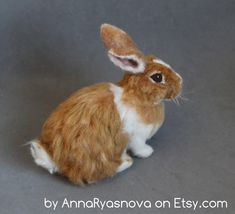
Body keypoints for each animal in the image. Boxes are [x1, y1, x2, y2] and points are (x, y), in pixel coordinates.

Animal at [29, 23, 183, 184]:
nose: (181, 81)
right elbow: (139, 147)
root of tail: (56, 160)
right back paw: (126, 162)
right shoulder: (137, 137)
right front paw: (148, 152)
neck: (138, 98)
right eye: (158, 77)